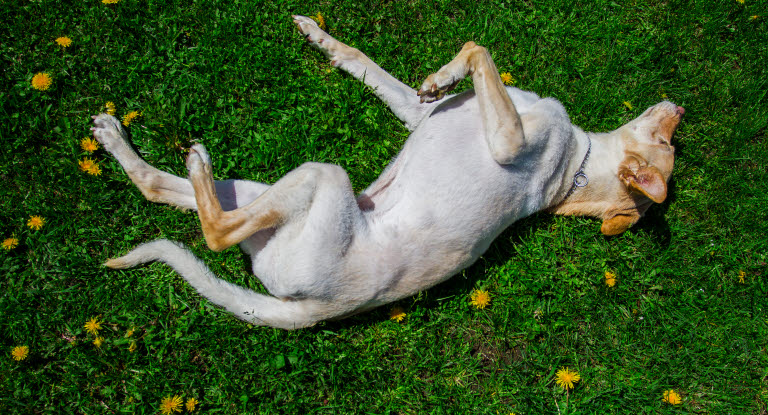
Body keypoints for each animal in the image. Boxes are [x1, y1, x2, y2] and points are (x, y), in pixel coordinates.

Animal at [91, 16, 684, 330]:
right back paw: (116, 139)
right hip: (267, 192)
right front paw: (322, 37)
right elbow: (371, 62)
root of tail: (312, 309)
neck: (578, 162)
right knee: (159, 188)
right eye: (666, 140)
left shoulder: (507, 141)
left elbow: (480, 50)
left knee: (213, 231)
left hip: (322, 178)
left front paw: (447, 69)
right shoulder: (420, 114)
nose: (678, 107)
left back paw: (195, 159)